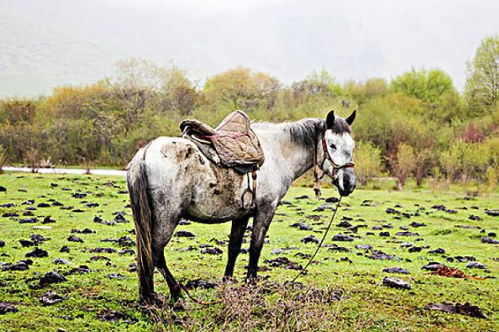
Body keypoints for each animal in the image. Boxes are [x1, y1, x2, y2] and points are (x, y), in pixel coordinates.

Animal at [127, 109, 358, 304]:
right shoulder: (266, 209)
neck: (277, 154)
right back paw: (175, 294)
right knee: (156, 252)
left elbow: (234, 248)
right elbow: (255, 247)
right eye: (332, 144)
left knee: (148, 253)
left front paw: (227, 283)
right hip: (167, 217)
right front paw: (251, 284)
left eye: (352, 146)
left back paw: (150, 296)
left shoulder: (242, 214)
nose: (349, 184)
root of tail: (144, 153)